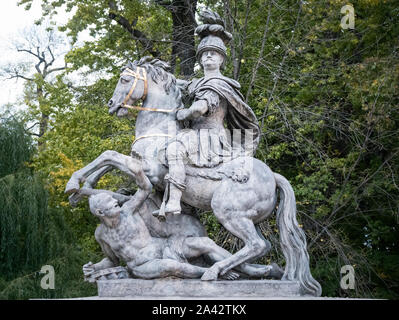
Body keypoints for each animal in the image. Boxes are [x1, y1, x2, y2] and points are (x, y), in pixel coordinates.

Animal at [65, 57, 322, 296]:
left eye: (125, 79)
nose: (111, 105)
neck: (159, 128)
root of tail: (274, 176)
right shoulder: (138, 164)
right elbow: (107, 163)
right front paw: (81, 189)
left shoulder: (149, 170)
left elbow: (110, 156)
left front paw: (72, 183)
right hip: (248, 218)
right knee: (261, 246)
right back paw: (261, 271)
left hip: (228, 213)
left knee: (256, 245)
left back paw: (214, 272)